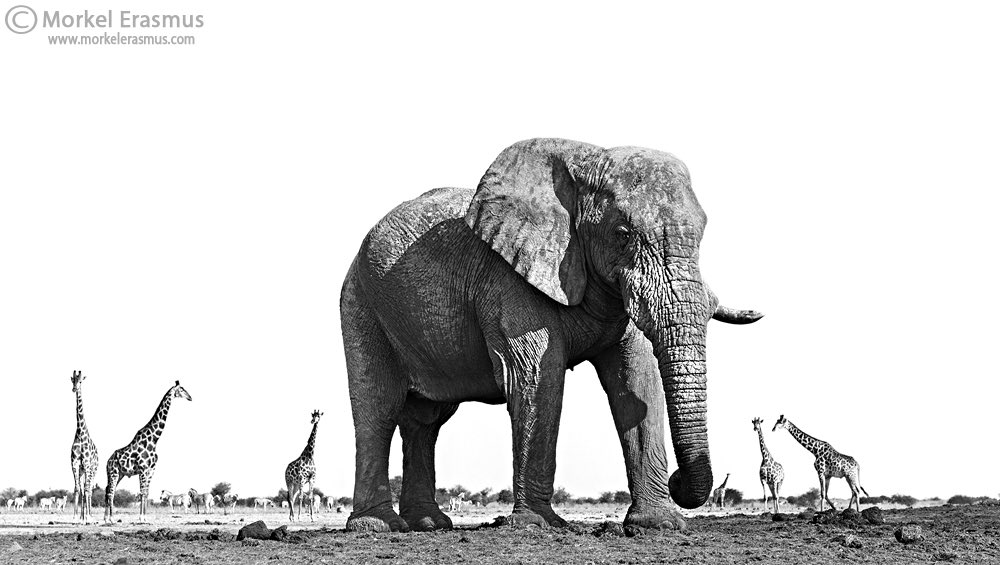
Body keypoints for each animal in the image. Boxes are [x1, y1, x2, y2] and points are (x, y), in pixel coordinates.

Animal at [104, 380, 192, 522]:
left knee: (108, 490)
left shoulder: (151, 470)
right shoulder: (143, 469)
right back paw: (111, 518)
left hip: (120, 474)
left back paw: (106, 518)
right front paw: (141, 517)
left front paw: (145, 517)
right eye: (182, 389)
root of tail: (108, 461)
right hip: (113, 473)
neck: (154, 439)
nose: (190, 397)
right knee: (111, 492)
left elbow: (146, 492)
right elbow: (142, 493)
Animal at [341, 138, 762, 533]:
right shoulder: (509, 279)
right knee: (379, 409)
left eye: (703, 234)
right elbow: (537, 380)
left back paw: (429, 525)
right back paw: (377, 526)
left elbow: (636, 382)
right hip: (359, 304)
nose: (677, 480)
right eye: (622, 233)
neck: (586, 162)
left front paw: (656, 525)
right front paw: (537, 525)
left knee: (426, 421)